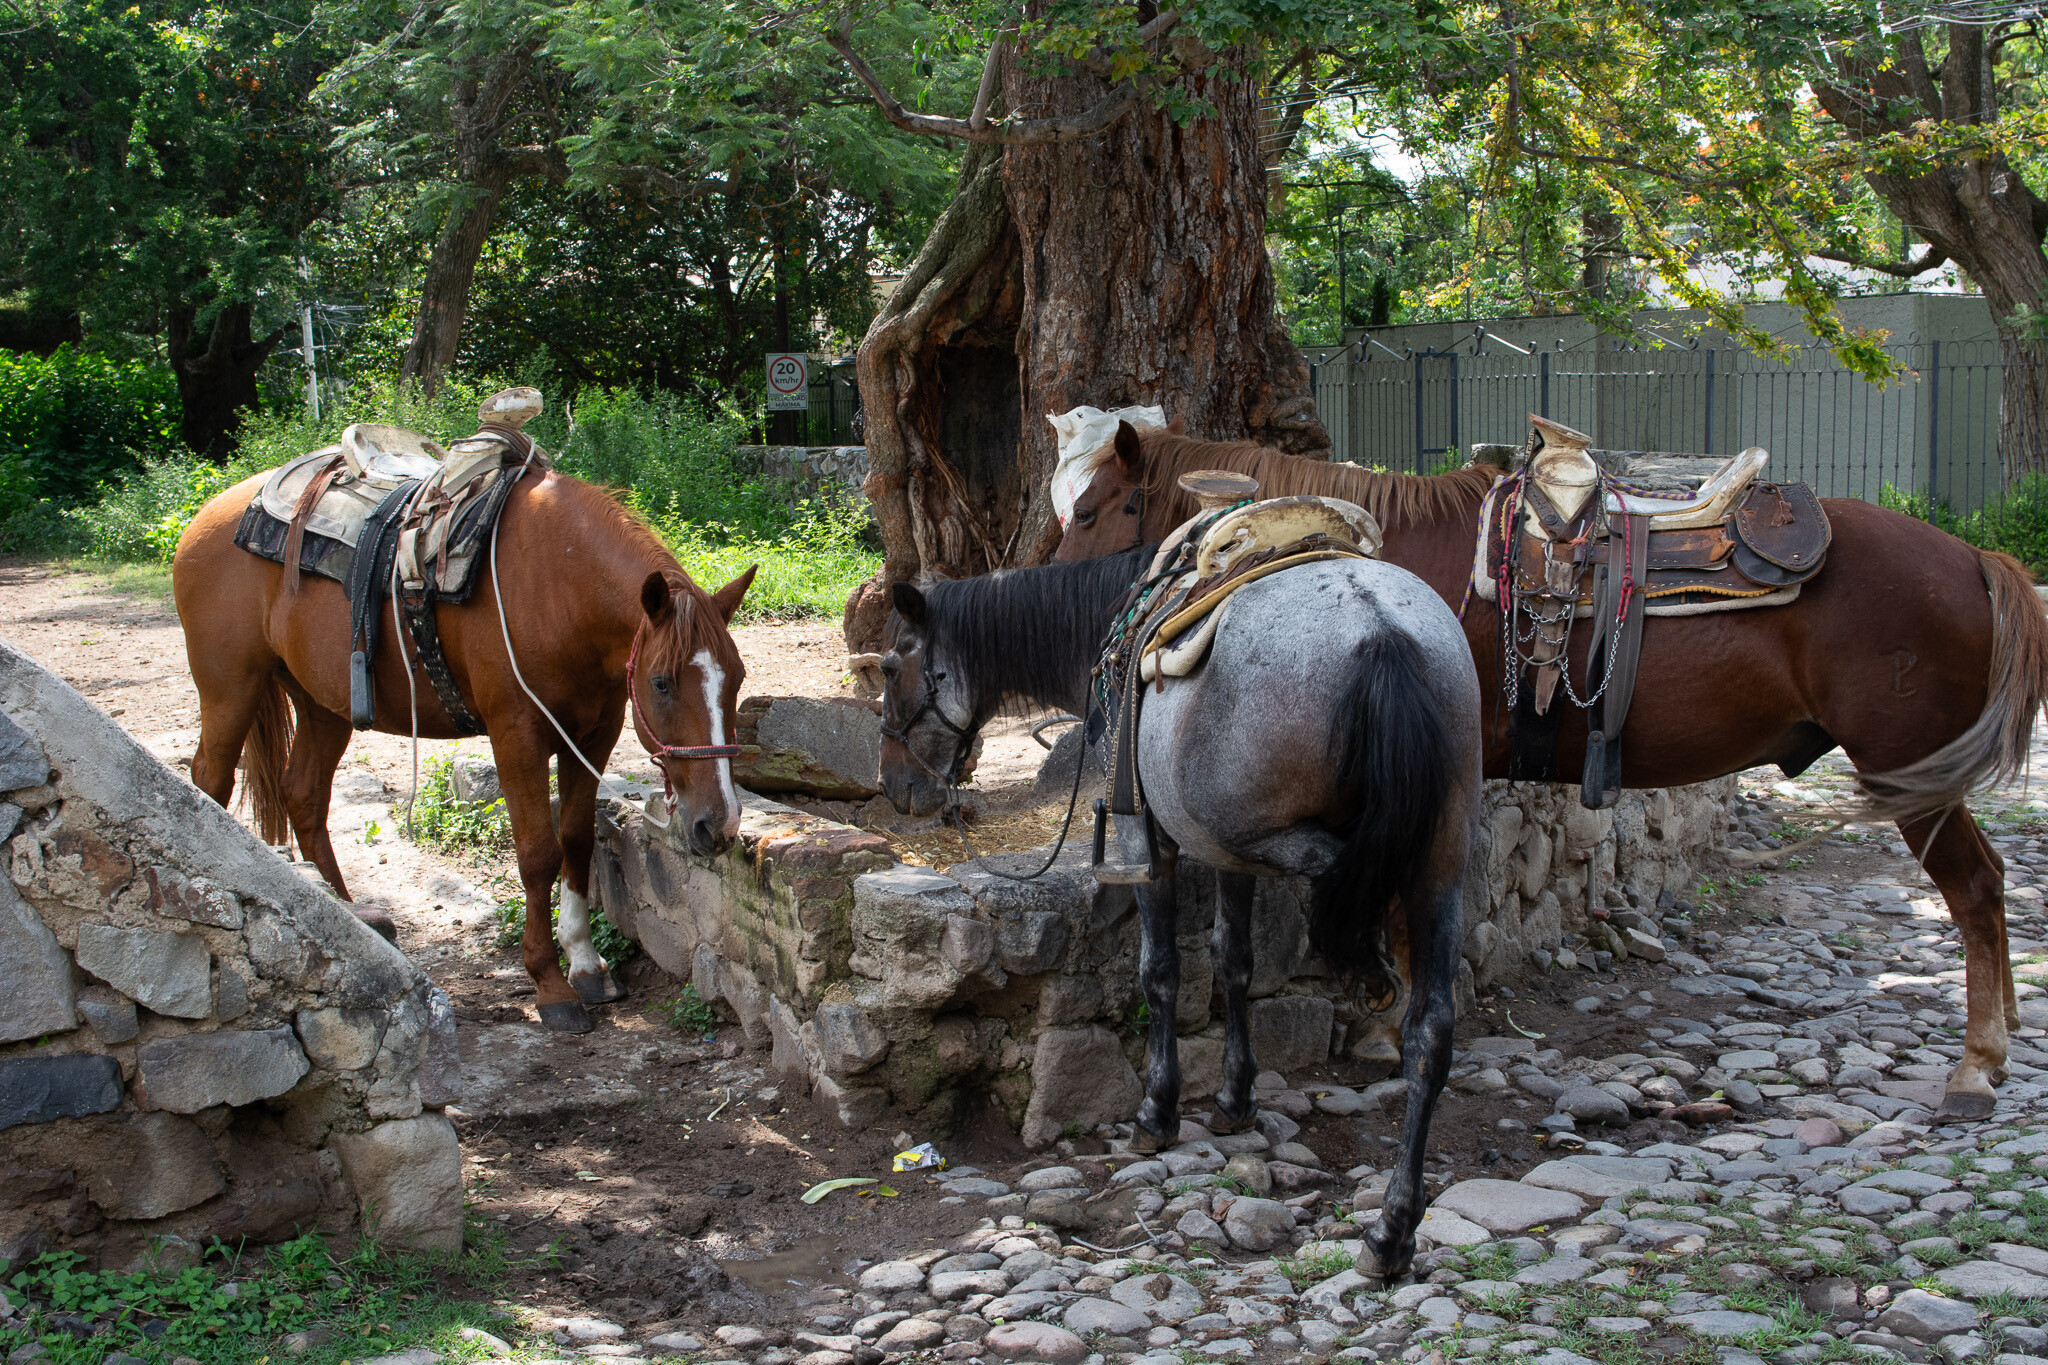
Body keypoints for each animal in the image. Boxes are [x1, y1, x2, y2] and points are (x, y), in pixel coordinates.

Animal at [173, 463, 756, 1033]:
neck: (557, 586)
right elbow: (537, 854)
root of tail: (207, 515)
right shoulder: (516, 734)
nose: (720, 825)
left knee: (304, 796)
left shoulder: (594, 733)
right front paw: (551, 984)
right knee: (210, 782)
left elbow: (576, 841)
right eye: (661, 683)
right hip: (231, 688)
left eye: (738, 678)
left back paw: (348, 917)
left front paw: (586, 964)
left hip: (322, 704)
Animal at [876, 545, 1482, 1280]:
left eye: (890, 666)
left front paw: (1157, 1113)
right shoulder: (1222, 851)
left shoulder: (1149, 837)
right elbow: (1235, 962)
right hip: (1435, 859)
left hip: (1309, 842)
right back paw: (1393, 1228)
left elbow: (1161, 970)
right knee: (1431, 1031)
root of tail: (1379, 628)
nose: (893, 784)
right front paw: (1235, 1100)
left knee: (1346, 883)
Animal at [1053, 421, 2048, 1120]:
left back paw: (1976, 1066)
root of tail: (1974, 559)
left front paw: (1382, 1024)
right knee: (1989, 882)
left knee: (1975, 887)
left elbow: (1394, 908)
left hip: (1910, 775)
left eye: (1096, 508)